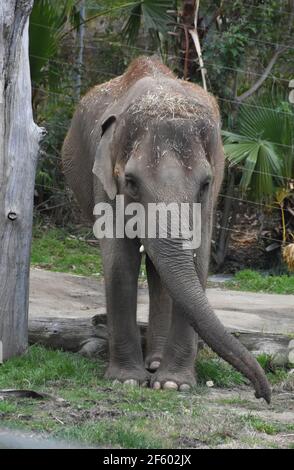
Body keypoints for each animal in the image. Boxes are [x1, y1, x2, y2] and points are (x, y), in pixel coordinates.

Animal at [62, 54, 272, 400]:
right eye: (131, 182)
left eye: (205, 183)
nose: (261, 394)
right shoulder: (103, 182)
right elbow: (120, 260)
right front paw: (127, 381)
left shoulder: (210, 198)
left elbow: (198, 259)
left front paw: (173, 384)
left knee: (160, 270)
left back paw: (156, 364)